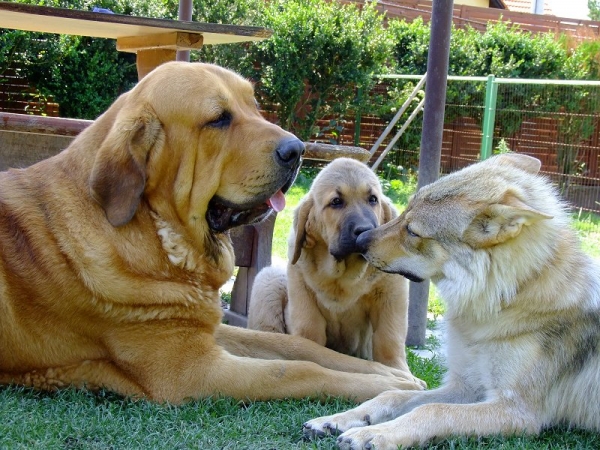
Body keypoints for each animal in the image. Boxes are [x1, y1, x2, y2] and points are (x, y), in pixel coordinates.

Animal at [248, 156, 422, 384]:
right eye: (336, 202)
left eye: (372, 199)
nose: (365, 231)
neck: (343, 275)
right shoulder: (302, 291)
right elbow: (309, 333)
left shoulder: (391, 295)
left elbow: (389, 339)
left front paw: (399, 372)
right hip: (268, 279)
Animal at [304, 153, 600, 448]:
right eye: (404, 212)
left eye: (413, 231)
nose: (360, 240)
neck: (509, 296)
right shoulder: (465, 385)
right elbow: (393, 395)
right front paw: (337, 420)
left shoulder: (518, 411)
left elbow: (432, 410)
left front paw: (374, 434)